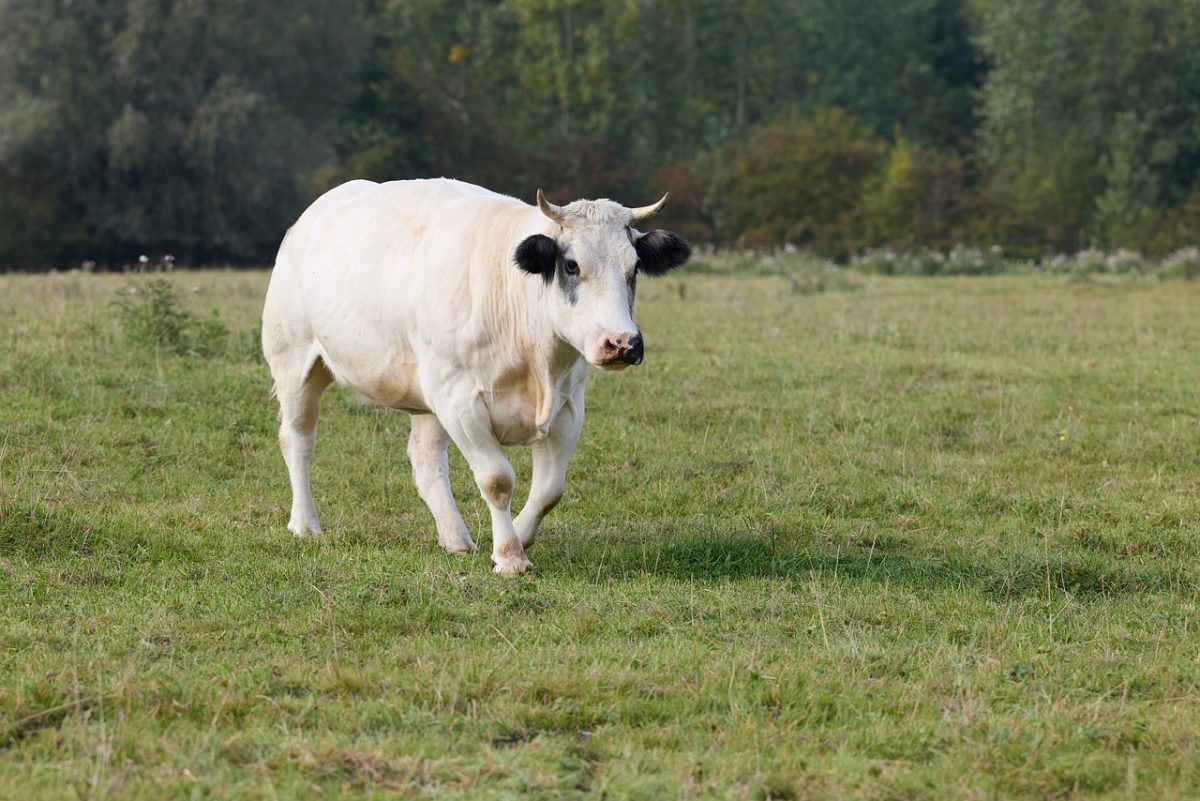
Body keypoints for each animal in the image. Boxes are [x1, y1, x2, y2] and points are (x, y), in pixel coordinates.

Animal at [261, 178, 691, 575]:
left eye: (634, 267)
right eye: (572, 265)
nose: (622, 343)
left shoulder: (568, 406)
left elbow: (549, 491)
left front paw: (519, 534)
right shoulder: (460, 401)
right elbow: (497, 480)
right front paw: (510, 556)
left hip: (427, 392)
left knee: (426, 459)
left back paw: (455, 538)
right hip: (295, 362)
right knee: (298, 439)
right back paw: (305, 524)